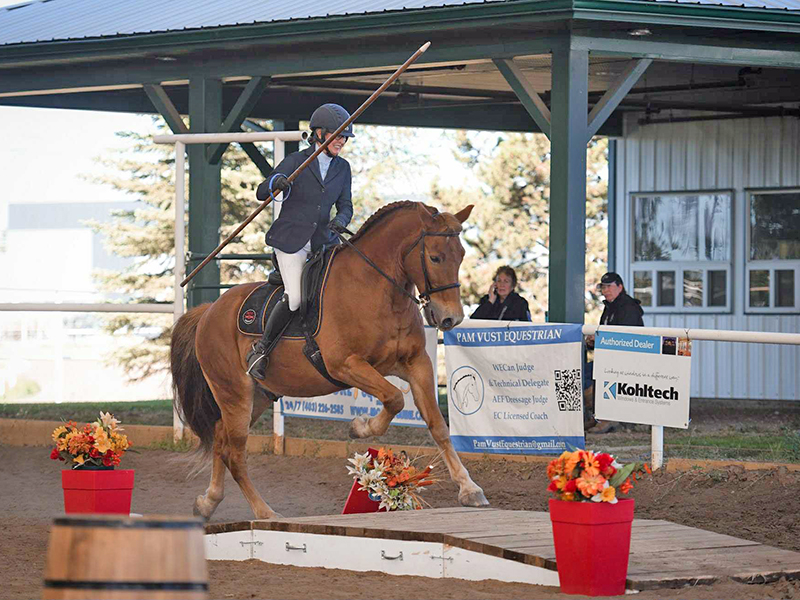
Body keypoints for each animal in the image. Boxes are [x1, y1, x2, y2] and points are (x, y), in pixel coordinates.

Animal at [170, 201, 489, 520]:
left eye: (461, 255)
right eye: (435, 257)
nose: (451, 318)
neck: (377, 289)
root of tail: (209, 310)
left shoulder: (416, 364)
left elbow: (438, 425)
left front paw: (470, 489)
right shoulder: (345, 365)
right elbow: (394, 397)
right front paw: (361, 427)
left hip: (256, 396)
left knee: (220, 439)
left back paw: (208, 502)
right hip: (234, 393)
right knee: (233, 453)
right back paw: (265, 513)